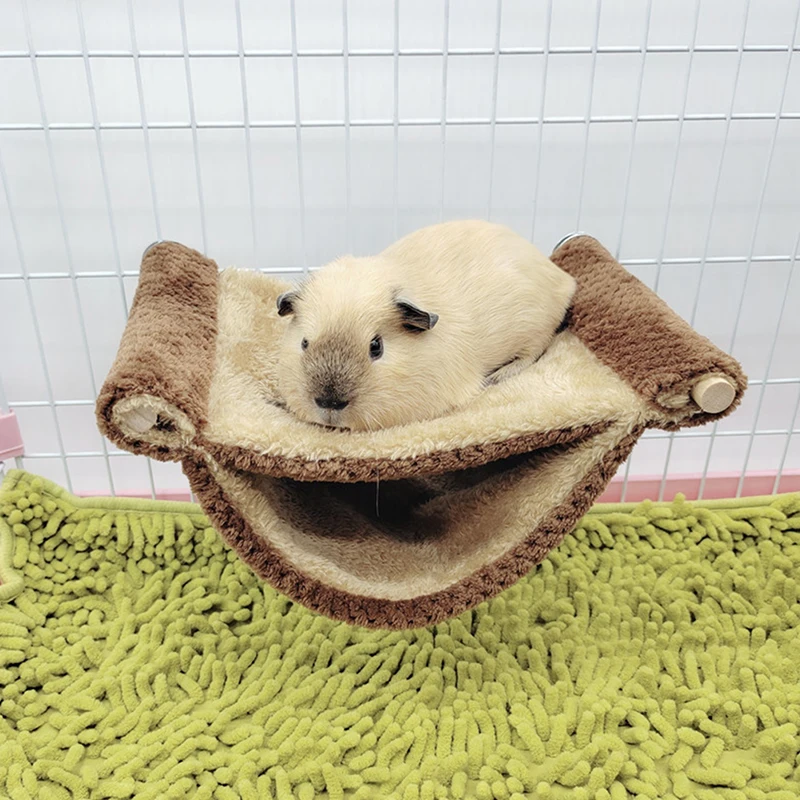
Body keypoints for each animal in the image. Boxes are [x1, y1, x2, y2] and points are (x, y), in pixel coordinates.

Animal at [275, 220, 576, 431]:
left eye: (376, 347)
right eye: (304, 343)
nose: (329, 403)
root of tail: (564, 280)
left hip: (536, 330)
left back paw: (499, 376)